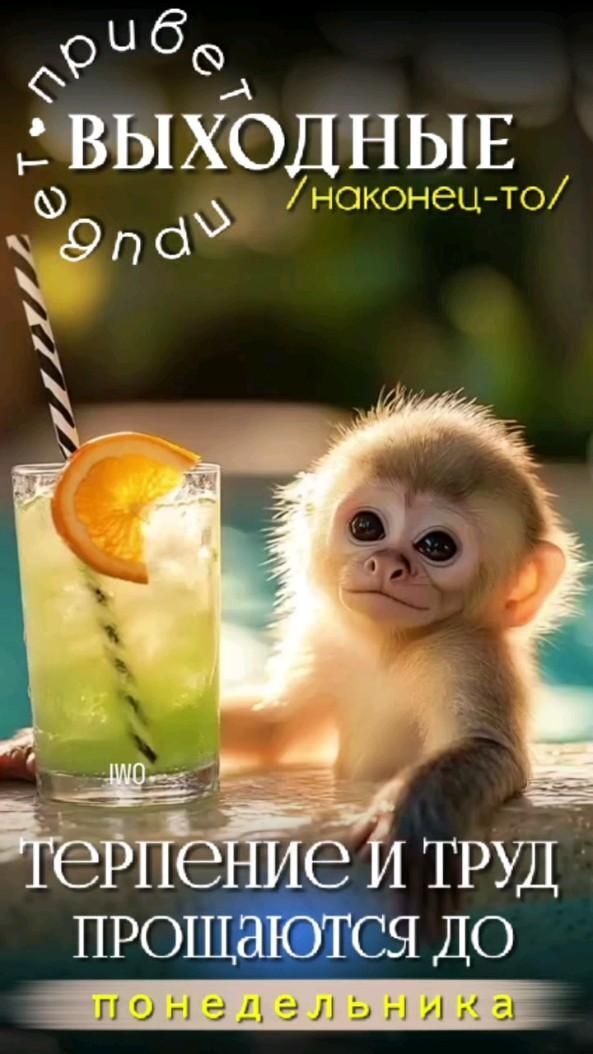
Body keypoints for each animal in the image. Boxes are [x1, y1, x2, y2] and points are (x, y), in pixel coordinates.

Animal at [0, 391, 583, 925]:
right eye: (367, 527)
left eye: (437, 546)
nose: (388, 565)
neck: (391, 649)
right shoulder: (327, 641)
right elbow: (277, 728)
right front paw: (29, 746)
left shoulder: (463, 651)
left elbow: (491, 750)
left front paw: (418, 816)